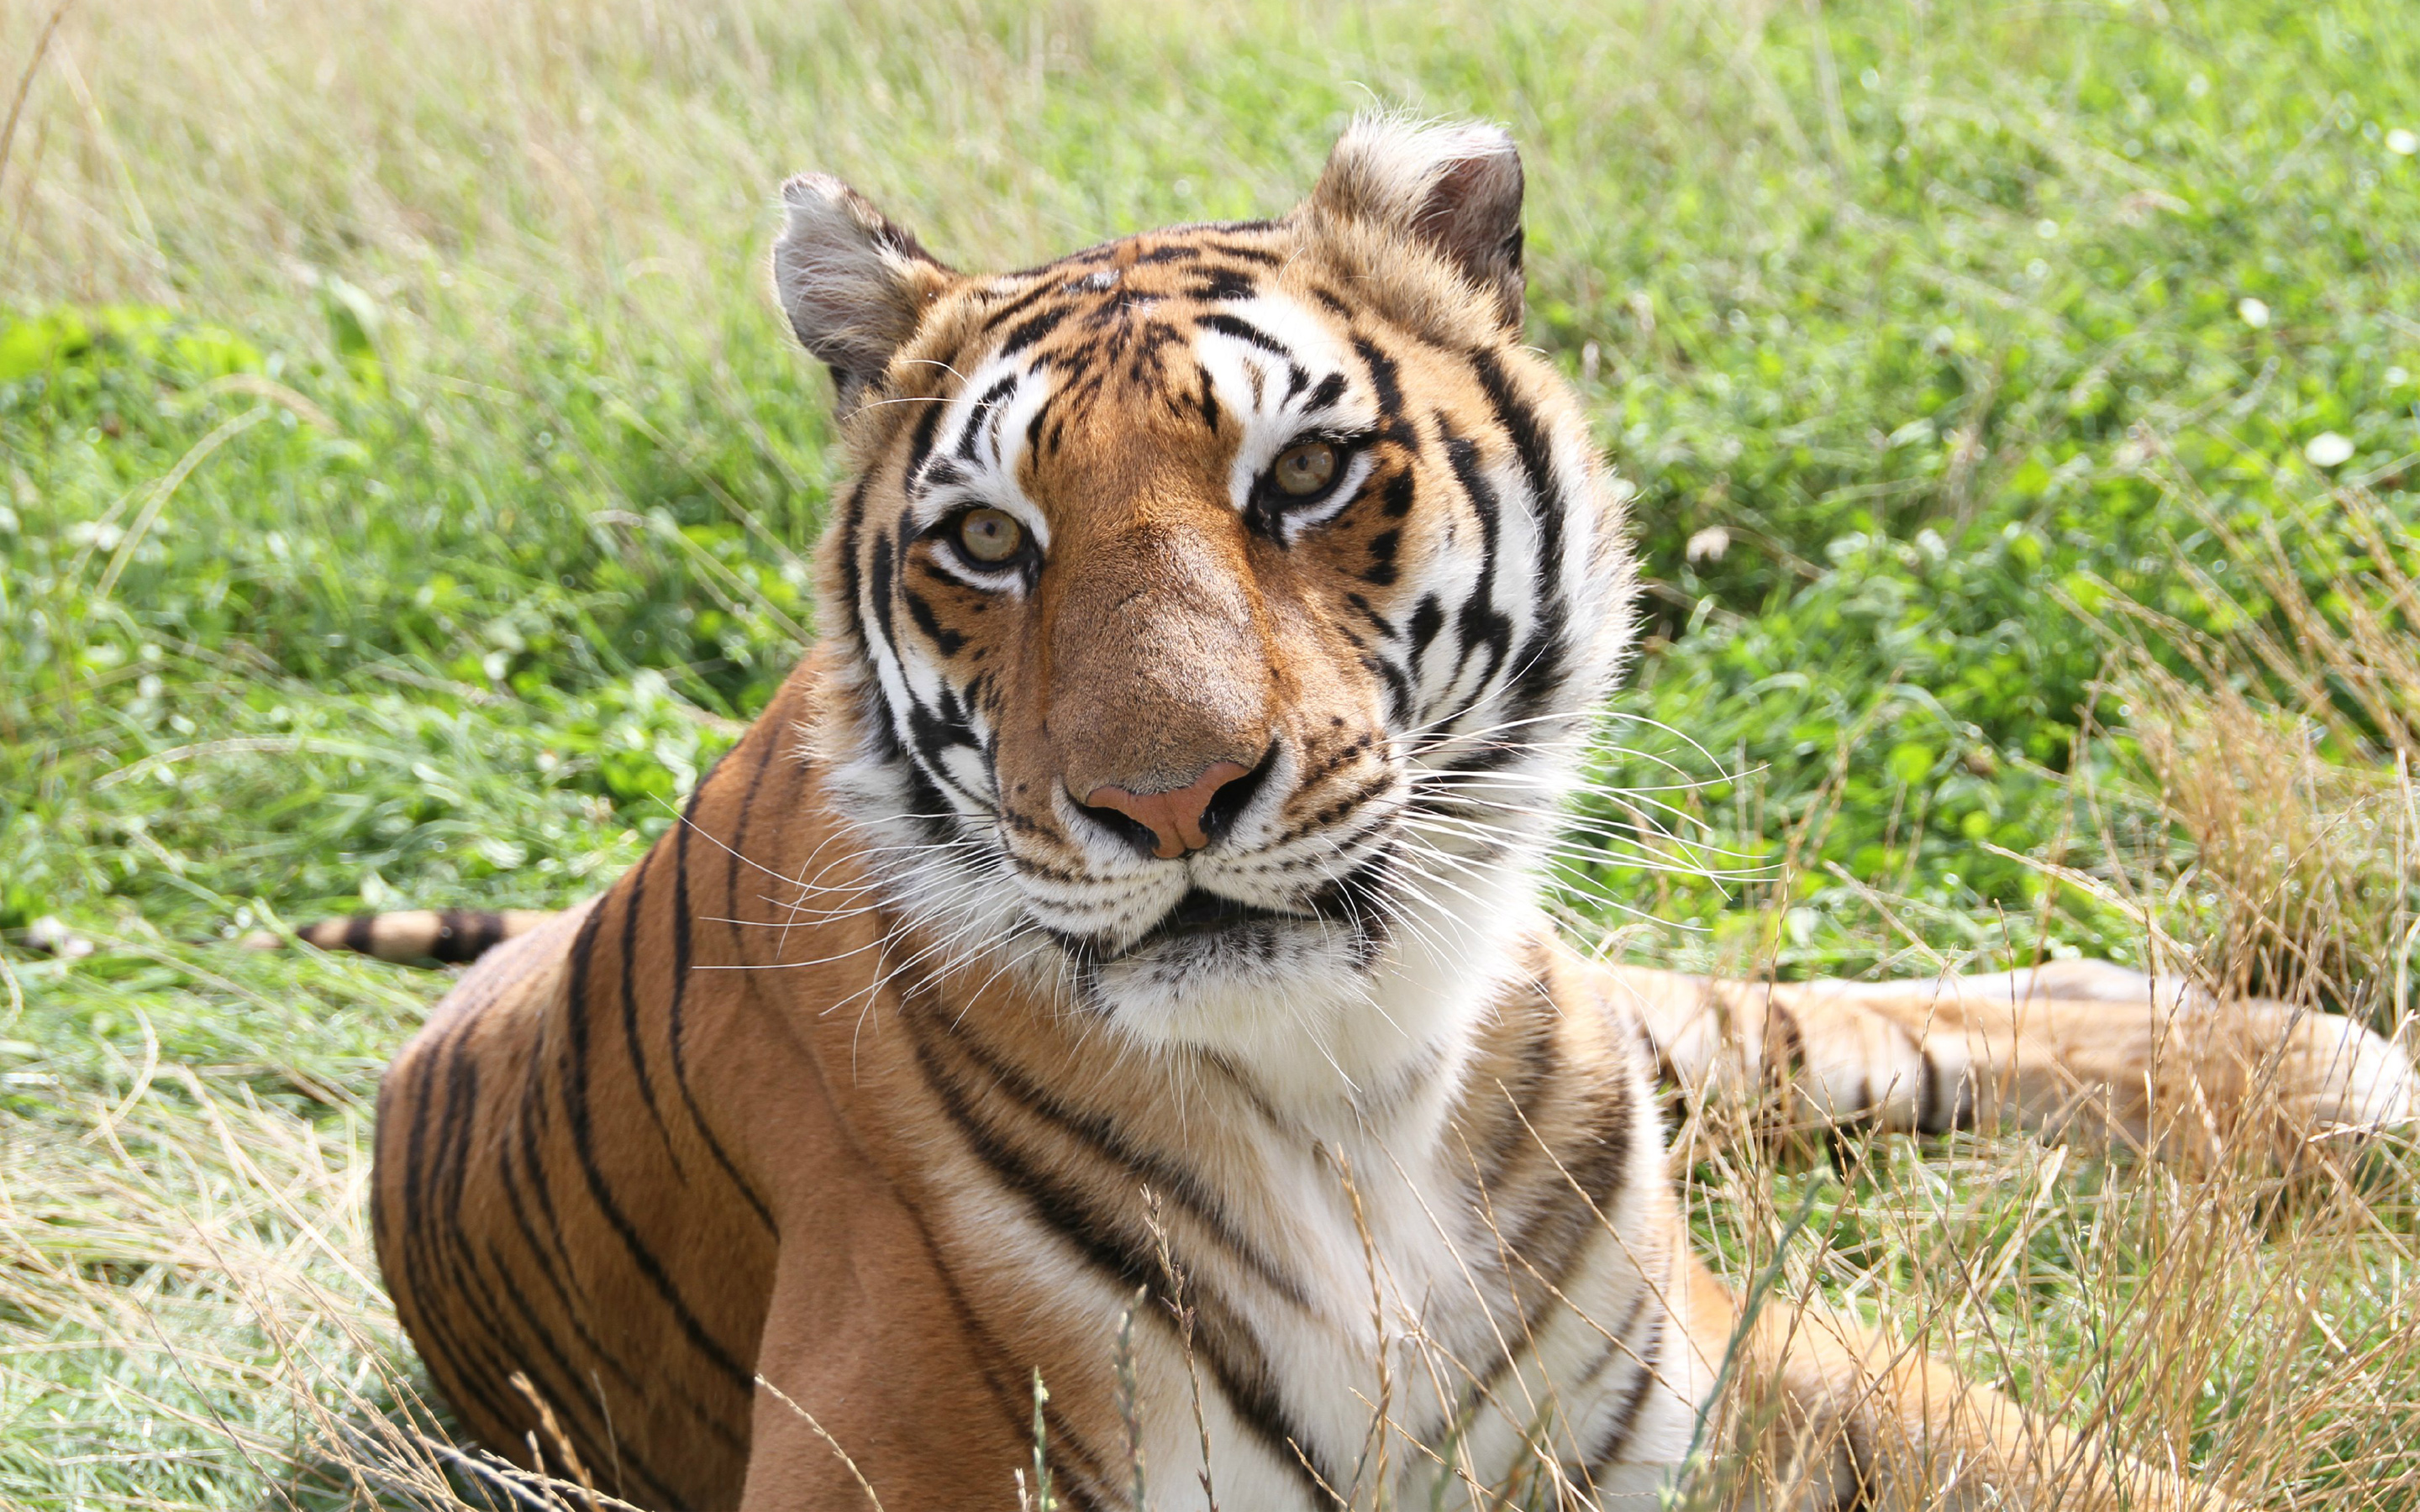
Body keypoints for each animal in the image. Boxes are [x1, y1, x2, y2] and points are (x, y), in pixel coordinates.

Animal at [326, 118, 2420, 1509]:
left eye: (1308, 473)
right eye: (989, 544)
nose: (1166, 797)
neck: (1348, 1095)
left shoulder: (1725, 1355)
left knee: (1804, 1030)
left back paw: (2307, 1067)